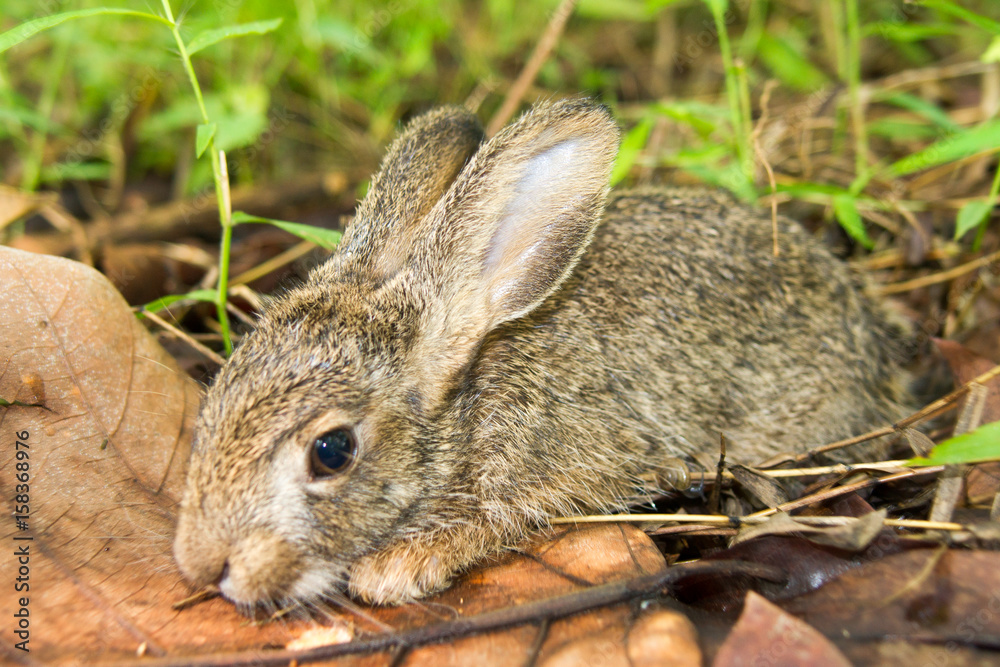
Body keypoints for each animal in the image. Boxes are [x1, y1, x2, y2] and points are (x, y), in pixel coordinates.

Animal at [173, 98, 917, 609]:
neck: (470, 400)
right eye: (214, 400)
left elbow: (502, 518)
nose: (203, 564)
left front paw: (396, 568)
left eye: (332, 451)